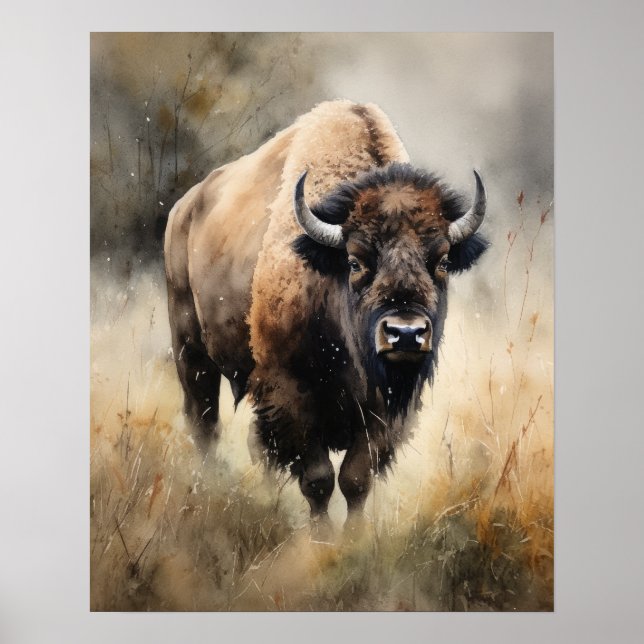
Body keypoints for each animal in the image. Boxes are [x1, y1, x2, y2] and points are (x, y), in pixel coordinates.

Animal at [164, 100, 488, 530]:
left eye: (443, 261)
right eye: (354, 261)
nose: (405, 334)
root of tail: (183, 210)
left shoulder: (384, 409)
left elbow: (356, 477)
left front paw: (353, 536)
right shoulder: (290, 392)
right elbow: (318, 478)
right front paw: (321, 537)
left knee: (253, 444)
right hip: (190, 351)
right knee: (204, 423)